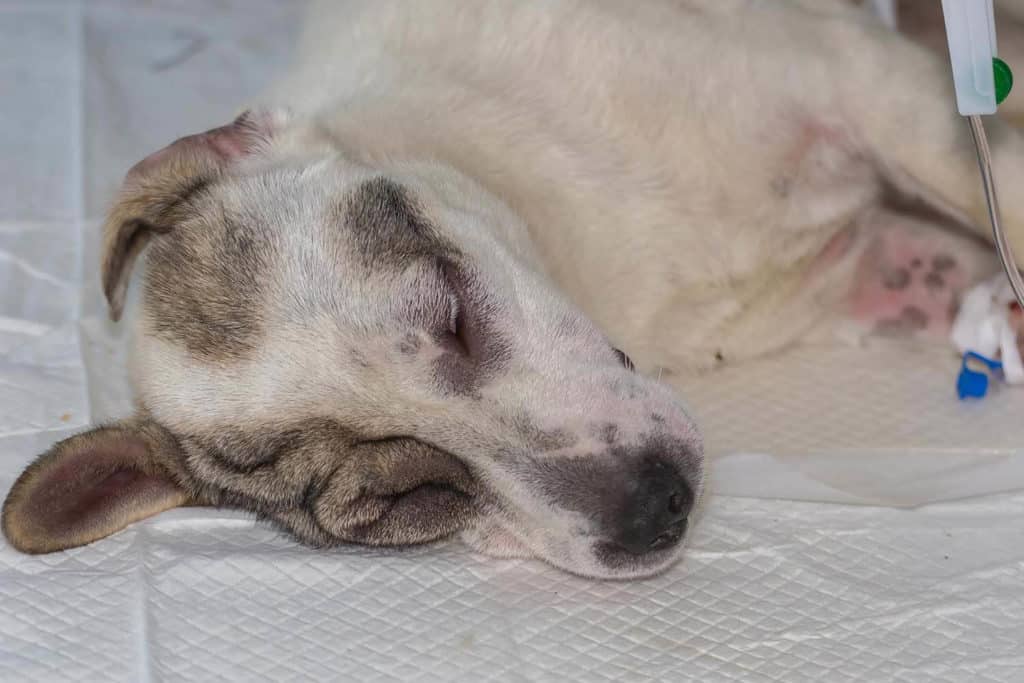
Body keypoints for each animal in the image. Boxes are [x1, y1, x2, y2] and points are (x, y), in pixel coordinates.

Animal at [2, 0, 1024, 581]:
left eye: (450, 308)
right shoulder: (865, 266)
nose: (657, 507)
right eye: (412, 497)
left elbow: (991, 181)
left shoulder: (864, 77)